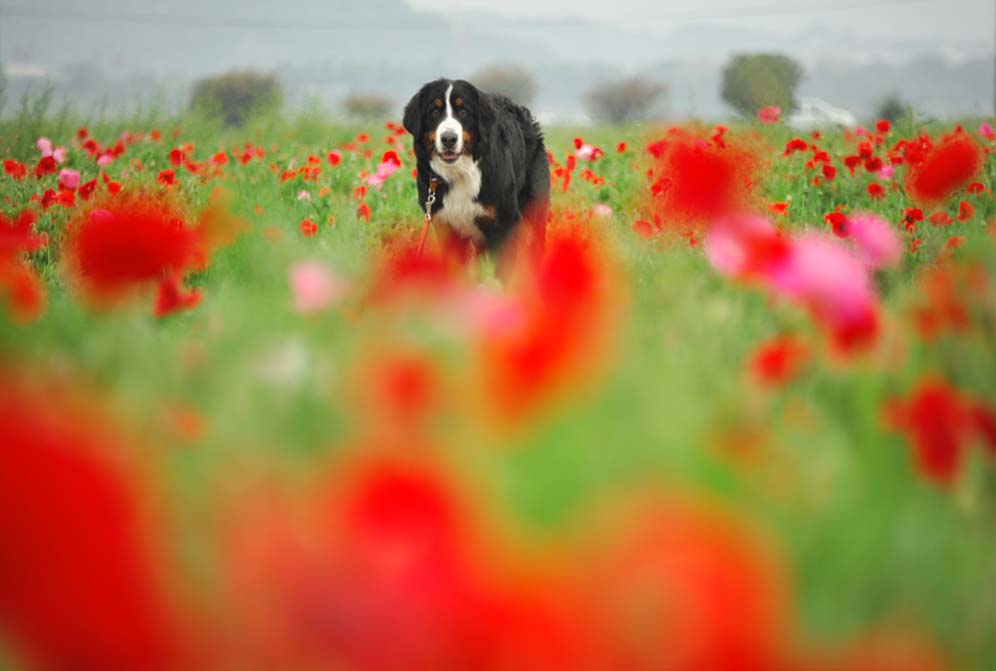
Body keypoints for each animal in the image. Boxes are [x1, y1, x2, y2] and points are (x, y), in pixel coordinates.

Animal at [400, 77, 548, 270]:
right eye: (434, 112)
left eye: (463, 111)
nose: (449, 139)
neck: (460, 173)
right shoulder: (445, 226)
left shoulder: (504, 222)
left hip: (534, 213)